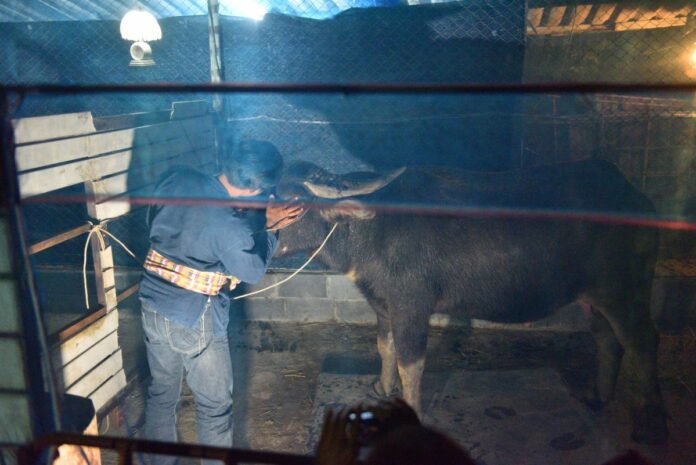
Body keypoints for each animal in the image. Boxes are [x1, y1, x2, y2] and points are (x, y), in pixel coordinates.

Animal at [274, 158, 668, 444]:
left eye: (291, 201)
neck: (371, 230)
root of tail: (637, 198)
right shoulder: (384, 305)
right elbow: (385, 349)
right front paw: (382, 389)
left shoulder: (411, 307)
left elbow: (410, 364)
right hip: (594, 299)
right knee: (607, 340)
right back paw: (598, 398)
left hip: (624, 292)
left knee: (644, 343)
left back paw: (650, 426)